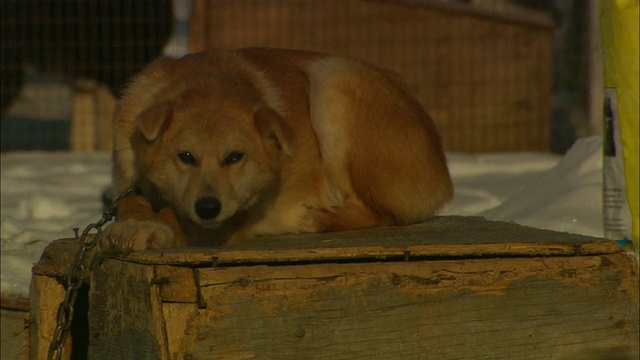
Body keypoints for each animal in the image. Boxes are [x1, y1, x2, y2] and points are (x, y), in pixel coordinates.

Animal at [100, 47, 452, 255]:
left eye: (235, 157)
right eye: (186, 156)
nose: (208, 207)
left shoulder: (234, 215)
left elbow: (176, 217)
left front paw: (153, 227)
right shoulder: (129, 186)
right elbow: (130, 204)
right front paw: (131, 222)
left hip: (332, 78)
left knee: (384, 214)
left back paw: (318, 217)